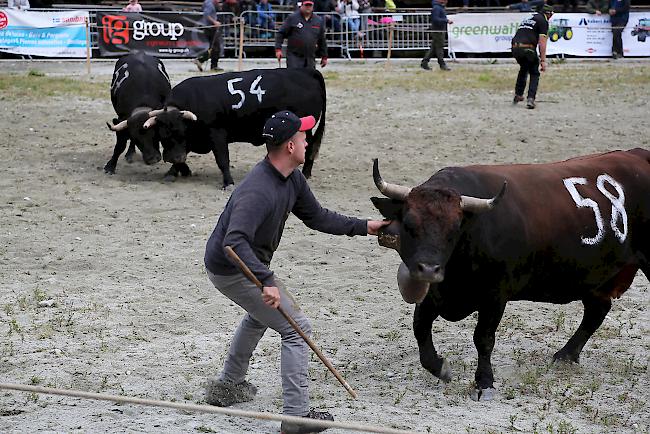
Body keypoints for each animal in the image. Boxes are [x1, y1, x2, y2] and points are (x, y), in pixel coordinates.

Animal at [142, 68, 324, 188]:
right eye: (162, 136)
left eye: (181, 133)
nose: (172, 158)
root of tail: (305, 72)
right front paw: (171, 172)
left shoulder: (216, 134)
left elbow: (222, 159)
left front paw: (228, 182)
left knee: (309, 147)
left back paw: (305, 173)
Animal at [370, 149, 648, 400]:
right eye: (408, 224)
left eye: (454, 229)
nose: (428, 269)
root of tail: (638, 154)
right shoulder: (434, 294)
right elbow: (420, 328)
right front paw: (441, 368)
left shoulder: (495, 296)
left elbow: (483, 338)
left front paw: (484, 383)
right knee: (597, 310)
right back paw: (566, 355)